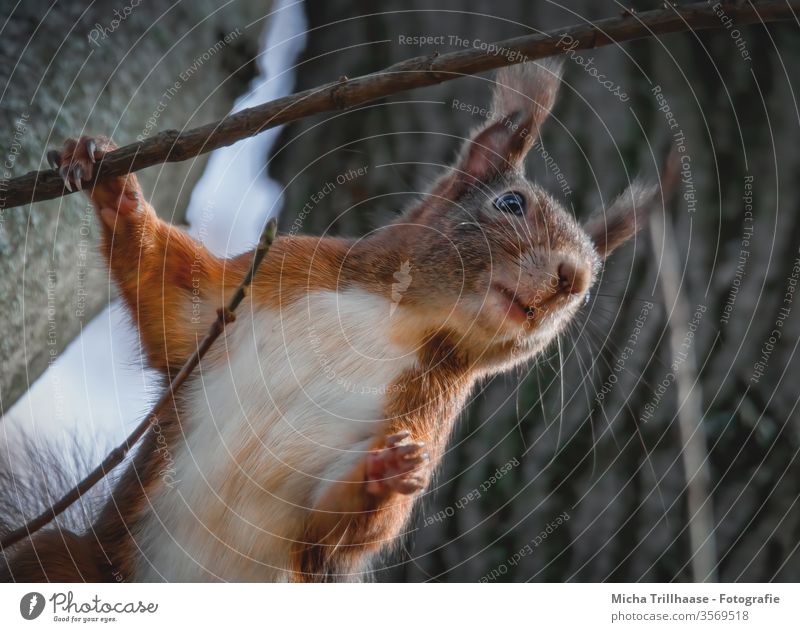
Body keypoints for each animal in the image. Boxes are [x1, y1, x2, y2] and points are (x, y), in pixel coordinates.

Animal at [0, 60, 660, 584]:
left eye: (592, 281)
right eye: (511, 203)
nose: (572, 280)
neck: (398, 317)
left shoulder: (424, 410)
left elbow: (332, 526)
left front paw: (386, 473)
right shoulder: (260, 282)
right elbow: (171, 294)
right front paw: (110, 181)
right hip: (67, 559)